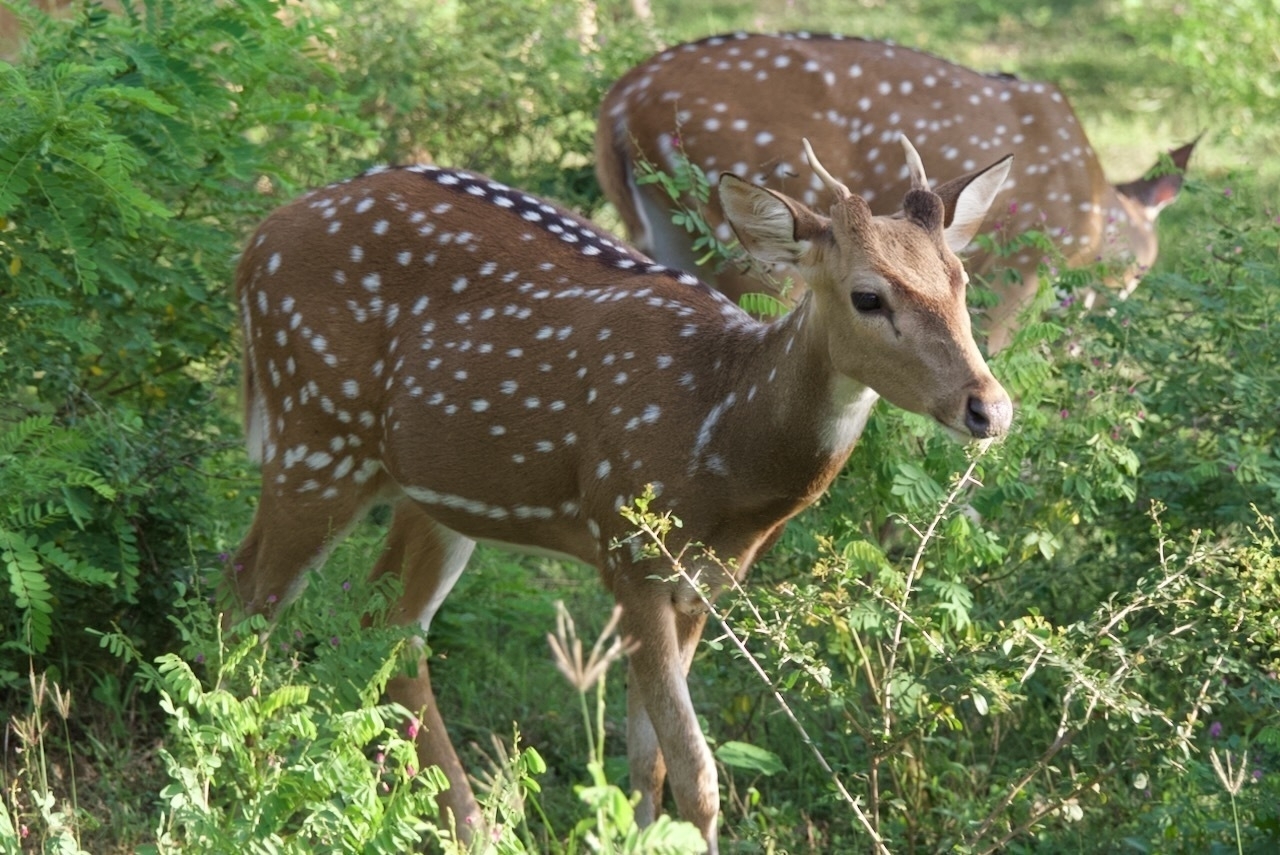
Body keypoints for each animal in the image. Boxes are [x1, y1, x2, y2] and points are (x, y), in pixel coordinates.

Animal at [227, 136, 1008, 849]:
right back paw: (247, 777)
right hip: (315, 430)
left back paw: (469, 826)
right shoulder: (627, 549)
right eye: (867, 296)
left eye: (962, 283)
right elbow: (697, 772)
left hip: (436, 489)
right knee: (249, 593)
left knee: (388, 623)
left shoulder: (703, 586)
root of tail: (254, 244)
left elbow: (649, 759)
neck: (721, 439)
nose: (989, 407)